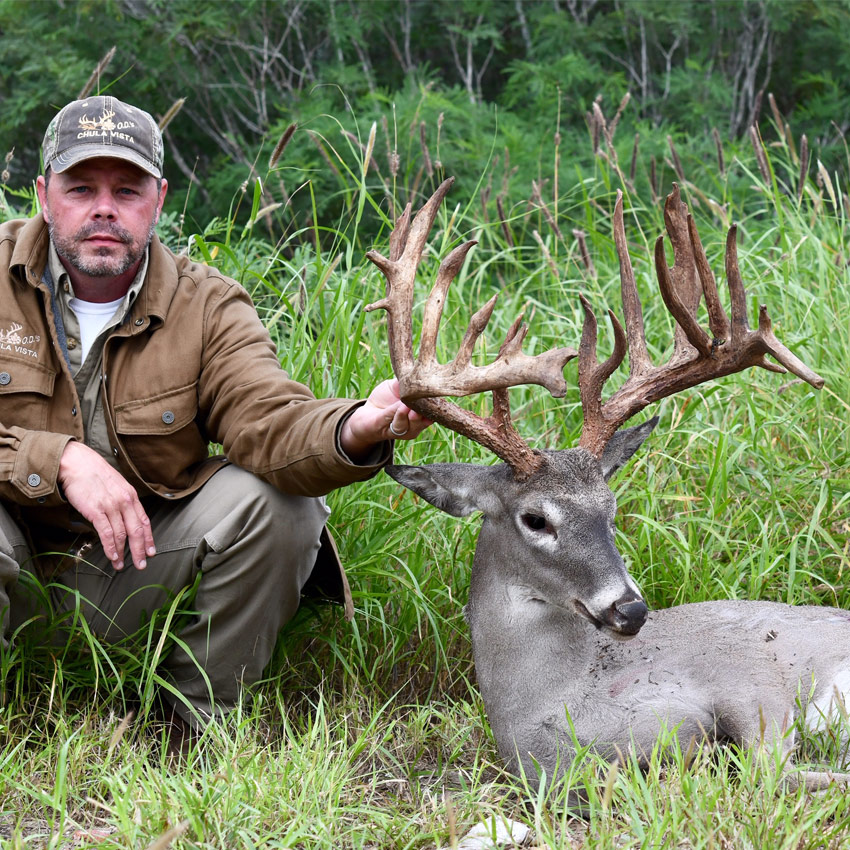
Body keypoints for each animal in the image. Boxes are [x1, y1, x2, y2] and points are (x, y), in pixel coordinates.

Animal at [366, 177, 850, 797]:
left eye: (612, 508)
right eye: (535, 518)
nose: (631, 610)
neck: (560, 707)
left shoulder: (749, 674)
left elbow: (766, 772)